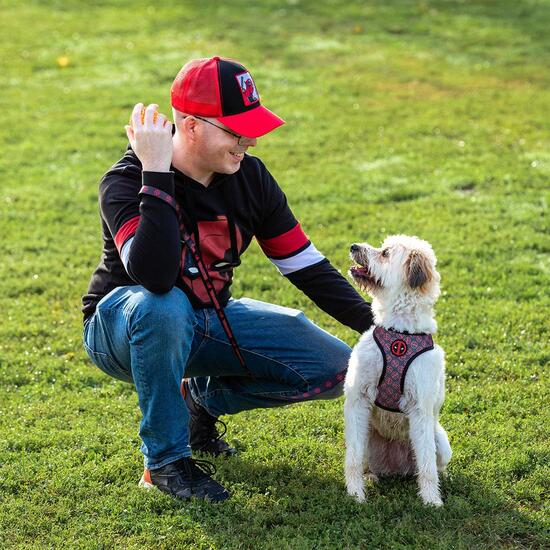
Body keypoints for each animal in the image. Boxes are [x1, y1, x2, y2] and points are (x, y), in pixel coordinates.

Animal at [344, 235, 452, 506]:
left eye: (385, 253)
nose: (353, 246)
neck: (399, 332)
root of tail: (395, 466)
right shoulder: (358, 399)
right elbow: (353, 458)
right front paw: (355, 493)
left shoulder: (421, 409)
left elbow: (427, 465)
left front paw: (431, 501)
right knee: (364, 461)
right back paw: (370, 476)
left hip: (441, 442)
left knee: (433, 464)